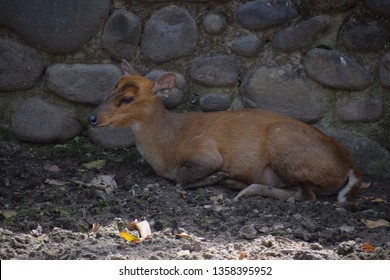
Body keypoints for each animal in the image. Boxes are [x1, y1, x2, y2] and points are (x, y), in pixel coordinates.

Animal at [88, 60, 362, 202]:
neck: (167, 147)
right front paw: (218, 178)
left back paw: (244, 188)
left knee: (305, 195)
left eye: (127, 99)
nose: (92, 118)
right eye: (112, 88)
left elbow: (180, 177)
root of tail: (349, 165)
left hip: (284, 144)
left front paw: (215, 177)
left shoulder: (206, 151)